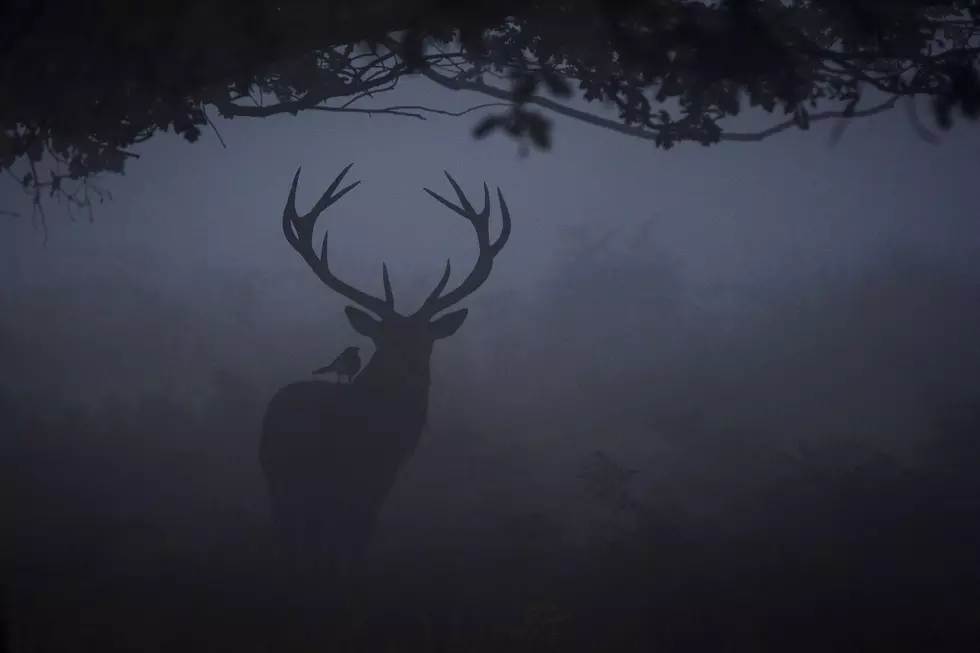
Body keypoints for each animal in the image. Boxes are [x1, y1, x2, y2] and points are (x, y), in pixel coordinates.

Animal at [259, 163, 511, 600]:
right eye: (383, 341)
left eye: (428, 342)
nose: (412, 376)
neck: (369, 444)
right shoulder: (328, 485)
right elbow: (330, 550)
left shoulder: (376, 489)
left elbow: (357, 548)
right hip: (280, 481)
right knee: (293, 539)